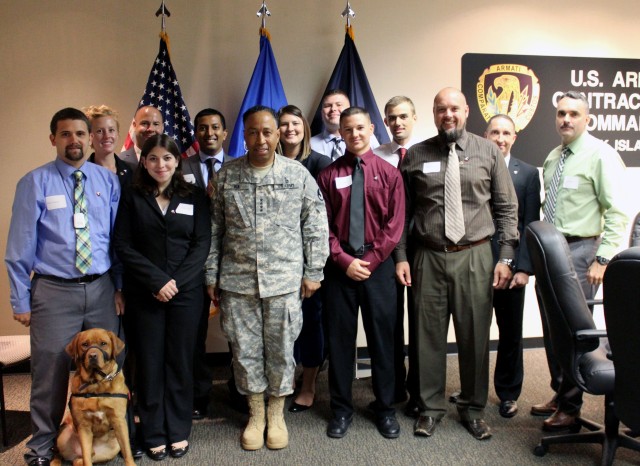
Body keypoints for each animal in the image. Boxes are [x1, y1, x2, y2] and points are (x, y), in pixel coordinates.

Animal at [52, 330, 136, 464]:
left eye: (103, 343)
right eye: (85, 344)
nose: (92, 356)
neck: (97, 384)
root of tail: (75, 454)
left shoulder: (119, 422)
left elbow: (127, 452)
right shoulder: (84, 427)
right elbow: (86, 458)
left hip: (112, 449)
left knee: (80, 460)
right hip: (64, 433)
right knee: (60, 454)